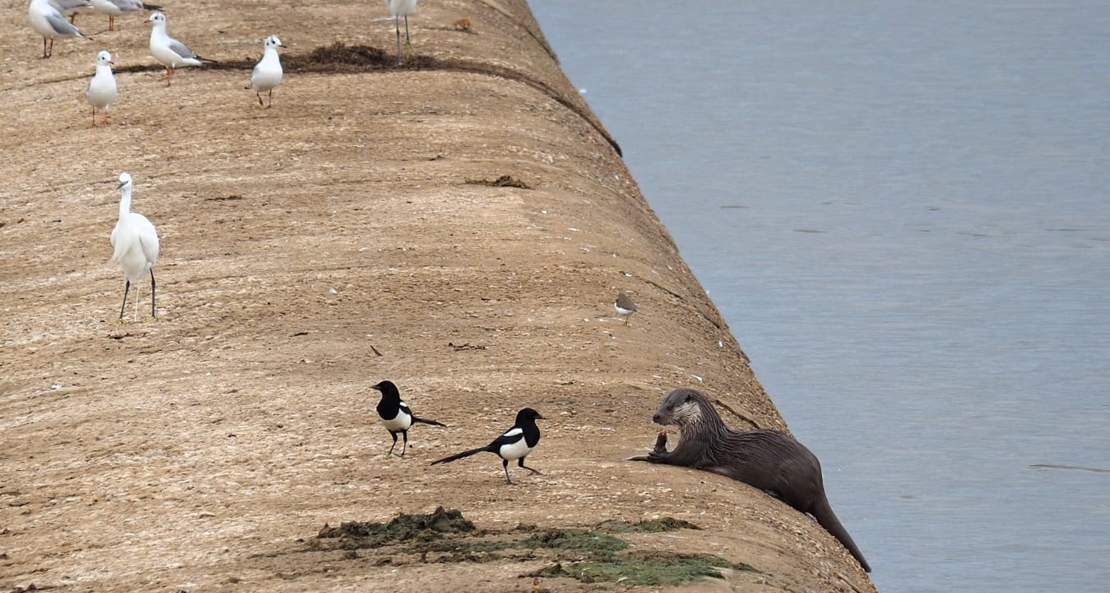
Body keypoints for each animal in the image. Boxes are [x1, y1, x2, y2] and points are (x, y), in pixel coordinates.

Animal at [630, 388, 870, 573]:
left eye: (670, 407)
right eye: (661, 402)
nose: (655, 416)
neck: (702, 426)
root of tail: (819, 482)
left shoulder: (694, 445)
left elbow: (676, 458)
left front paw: (650, 455)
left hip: (790, 474)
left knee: (801, 506)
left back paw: (773, 493)